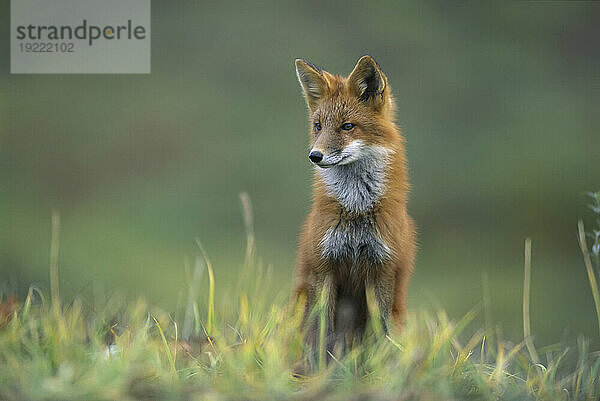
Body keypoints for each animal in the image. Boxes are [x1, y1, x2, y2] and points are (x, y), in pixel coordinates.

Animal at [292, 54, 414, 346]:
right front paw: (319, 361)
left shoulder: (383, 269)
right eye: (318, 126)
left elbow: (381, 334)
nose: (315, 155)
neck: (356, 211)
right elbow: (321, 332)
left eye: (347, 126)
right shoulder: (324, 267)